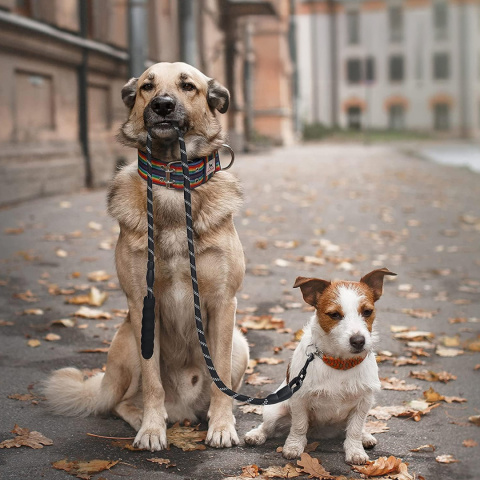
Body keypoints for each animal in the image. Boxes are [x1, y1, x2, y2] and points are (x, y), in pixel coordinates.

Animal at [43, 62, 249, 450]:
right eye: (146, 87)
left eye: (188, 86)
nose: (162, 105)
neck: (172, 179)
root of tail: (183, 408)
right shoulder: (143, 306)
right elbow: (153, 383)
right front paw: (153, 429)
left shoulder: (223, 304)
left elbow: (221, 381)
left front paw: (222, 426)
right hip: (127, 339)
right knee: (122, 401)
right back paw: (145, 418)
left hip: (239, 343)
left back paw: (210, 417)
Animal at [246, 268, 396, 464]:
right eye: (334, 315)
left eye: (367, 311)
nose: (358, 341)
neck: (340, 363)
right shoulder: (299, 399)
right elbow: (299, 426)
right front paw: (293, 446)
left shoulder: (363, 402)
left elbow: (354, 430)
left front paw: (356, 451)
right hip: (275, 410)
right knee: (267, 426)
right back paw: (256, 435)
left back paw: (365, 436)